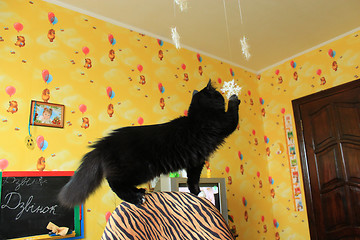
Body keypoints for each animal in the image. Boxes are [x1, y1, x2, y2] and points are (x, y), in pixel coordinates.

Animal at [58, 80, 239, 206]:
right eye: (217, 93)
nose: (222, 93)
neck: (198, 113)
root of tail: (105, 141)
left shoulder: (196, 162)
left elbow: (192, 180)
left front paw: (197, 194)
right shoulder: (225, 123)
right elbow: (233, 113)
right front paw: (234, 97)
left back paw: (139, 192)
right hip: (139, 170)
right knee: (114, 183)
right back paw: (136, 199)